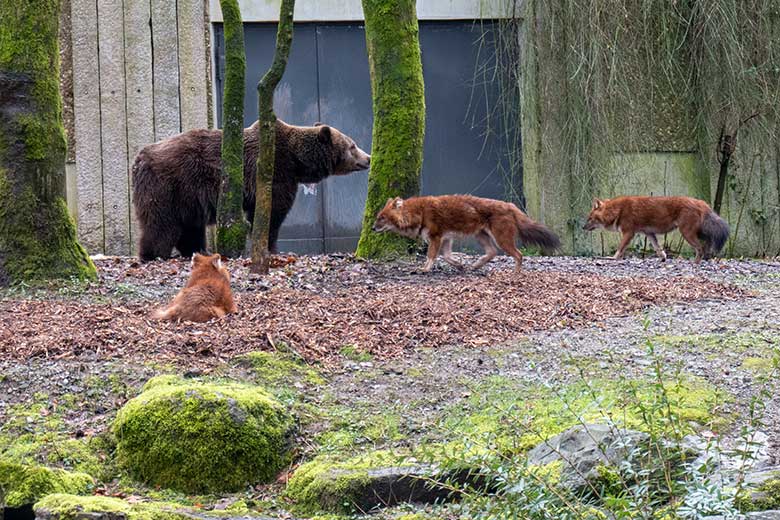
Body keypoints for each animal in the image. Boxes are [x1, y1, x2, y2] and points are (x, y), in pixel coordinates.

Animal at [131, 120, 368, 262]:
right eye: (352, 145)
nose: (368, 158)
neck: (298, 161)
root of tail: (139, 157)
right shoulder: (274, 172)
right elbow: (272, 212)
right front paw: (271, 248)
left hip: (188, 197)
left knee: (189, 226)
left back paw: (197, 251)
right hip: (172, 183)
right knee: (162, 222)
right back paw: (154, 254)